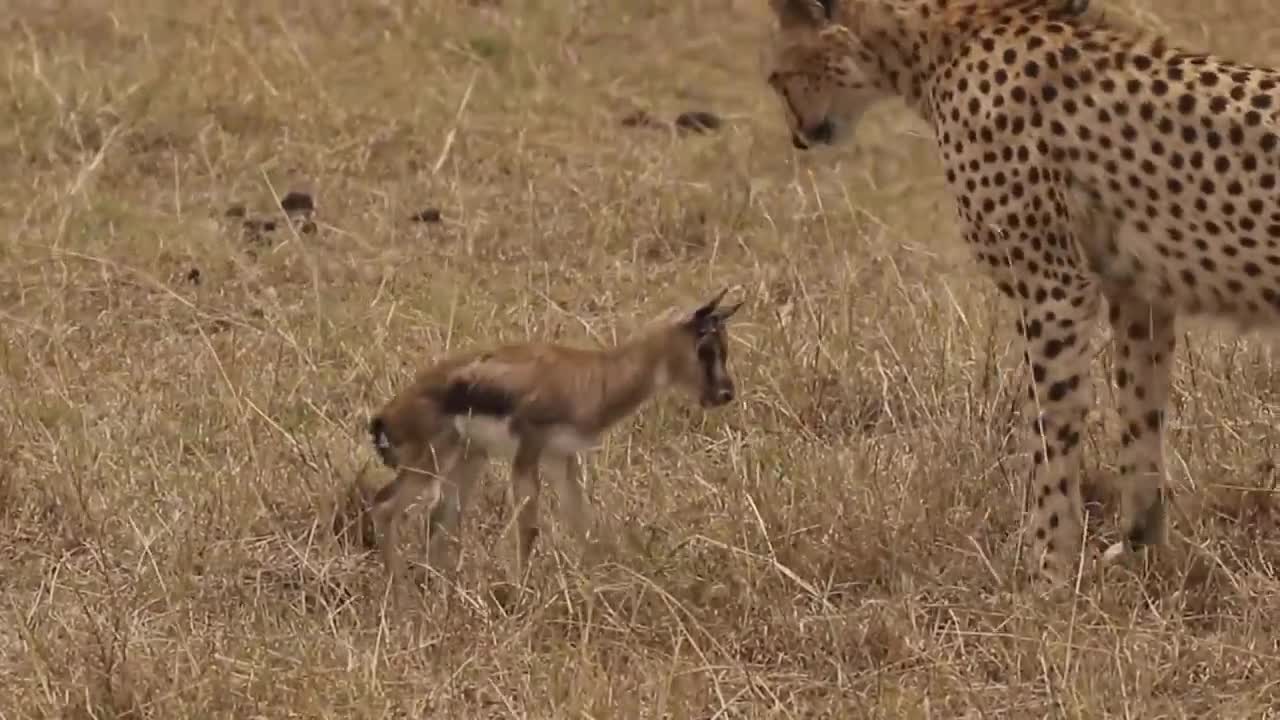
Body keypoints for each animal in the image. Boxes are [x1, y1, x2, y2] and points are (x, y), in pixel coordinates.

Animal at [762, 0, 1280, 584]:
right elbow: (1140, 419)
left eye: (778, 78)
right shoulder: (1138, 295)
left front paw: (1046, 567)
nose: (799, 136)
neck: (937, 45)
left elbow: (1050, 433)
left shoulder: (1054, 290)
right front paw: (1139, 550)